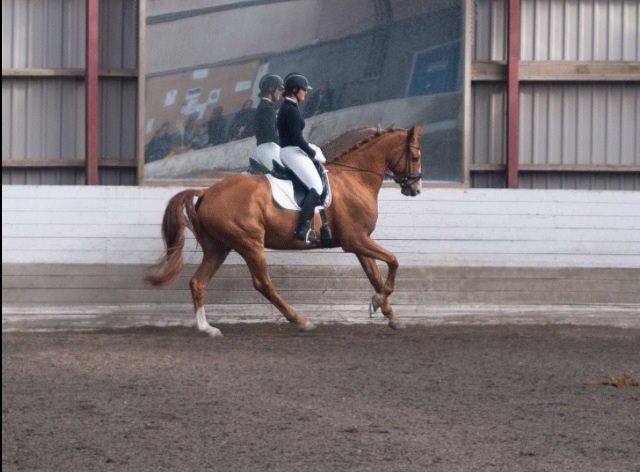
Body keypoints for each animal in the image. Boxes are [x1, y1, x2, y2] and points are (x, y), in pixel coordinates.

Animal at [147, 125, 422, 336]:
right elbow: (393, 261)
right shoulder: (355, 240)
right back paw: (301, 321)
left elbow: (375, 275)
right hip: (250, 243)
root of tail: (206, 192)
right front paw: (378, 302)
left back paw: (207, 328)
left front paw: (390, 315)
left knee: (198, 282)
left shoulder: (359, 241)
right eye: (416, 157)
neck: (354, 179)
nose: (415, 189)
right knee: (263, 283)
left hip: (218, 248)